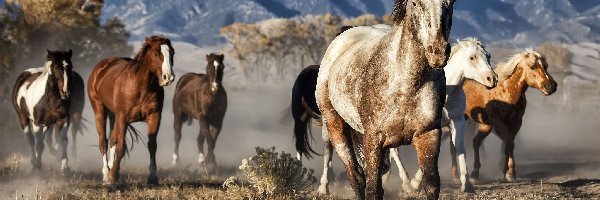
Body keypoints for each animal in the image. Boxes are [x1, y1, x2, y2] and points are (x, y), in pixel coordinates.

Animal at [86, 35, 176, 184]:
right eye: (156, 53)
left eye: (172, 53)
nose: (168, 77)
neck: (141, 86)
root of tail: (100, 68)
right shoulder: (123, 118)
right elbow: (121, 147)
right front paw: (113, 176)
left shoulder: (154, 116)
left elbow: (152, 146)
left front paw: (152, 177)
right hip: (99, 110)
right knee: (103, 141)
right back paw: (106, 175)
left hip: (114, 115)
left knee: (112, 140)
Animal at [314, 0, 454, 198]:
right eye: (415, 3)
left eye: (451, 3)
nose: (438, 51)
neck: (406, 85)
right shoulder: (374, 139)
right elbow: (372, 188)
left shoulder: (429, 134)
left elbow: (431, 185)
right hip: (335, 126)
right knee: (355, 175)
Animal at [386, 37, 500, 192]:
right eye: (472, 57)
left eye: (488, 56)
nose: (492, 79)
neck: (446, 91)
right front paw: (416, 182)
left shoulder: (458, 122)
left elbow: (459, 148)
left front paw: (466, 183)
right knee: (394, 151)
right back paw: (406, 183)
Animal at [464, 49, 556, 184]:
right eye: (532, 66)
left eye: (546, 66)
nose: (551, 86)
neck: (507, 91)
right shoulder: (499, 123)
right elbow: (508, 143)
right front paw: (510, 173)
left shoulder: (515, 123)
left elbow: (509, 145)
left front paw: (507, 172)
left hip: (484, 126)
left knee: (476, 142)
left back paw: (475, 174)